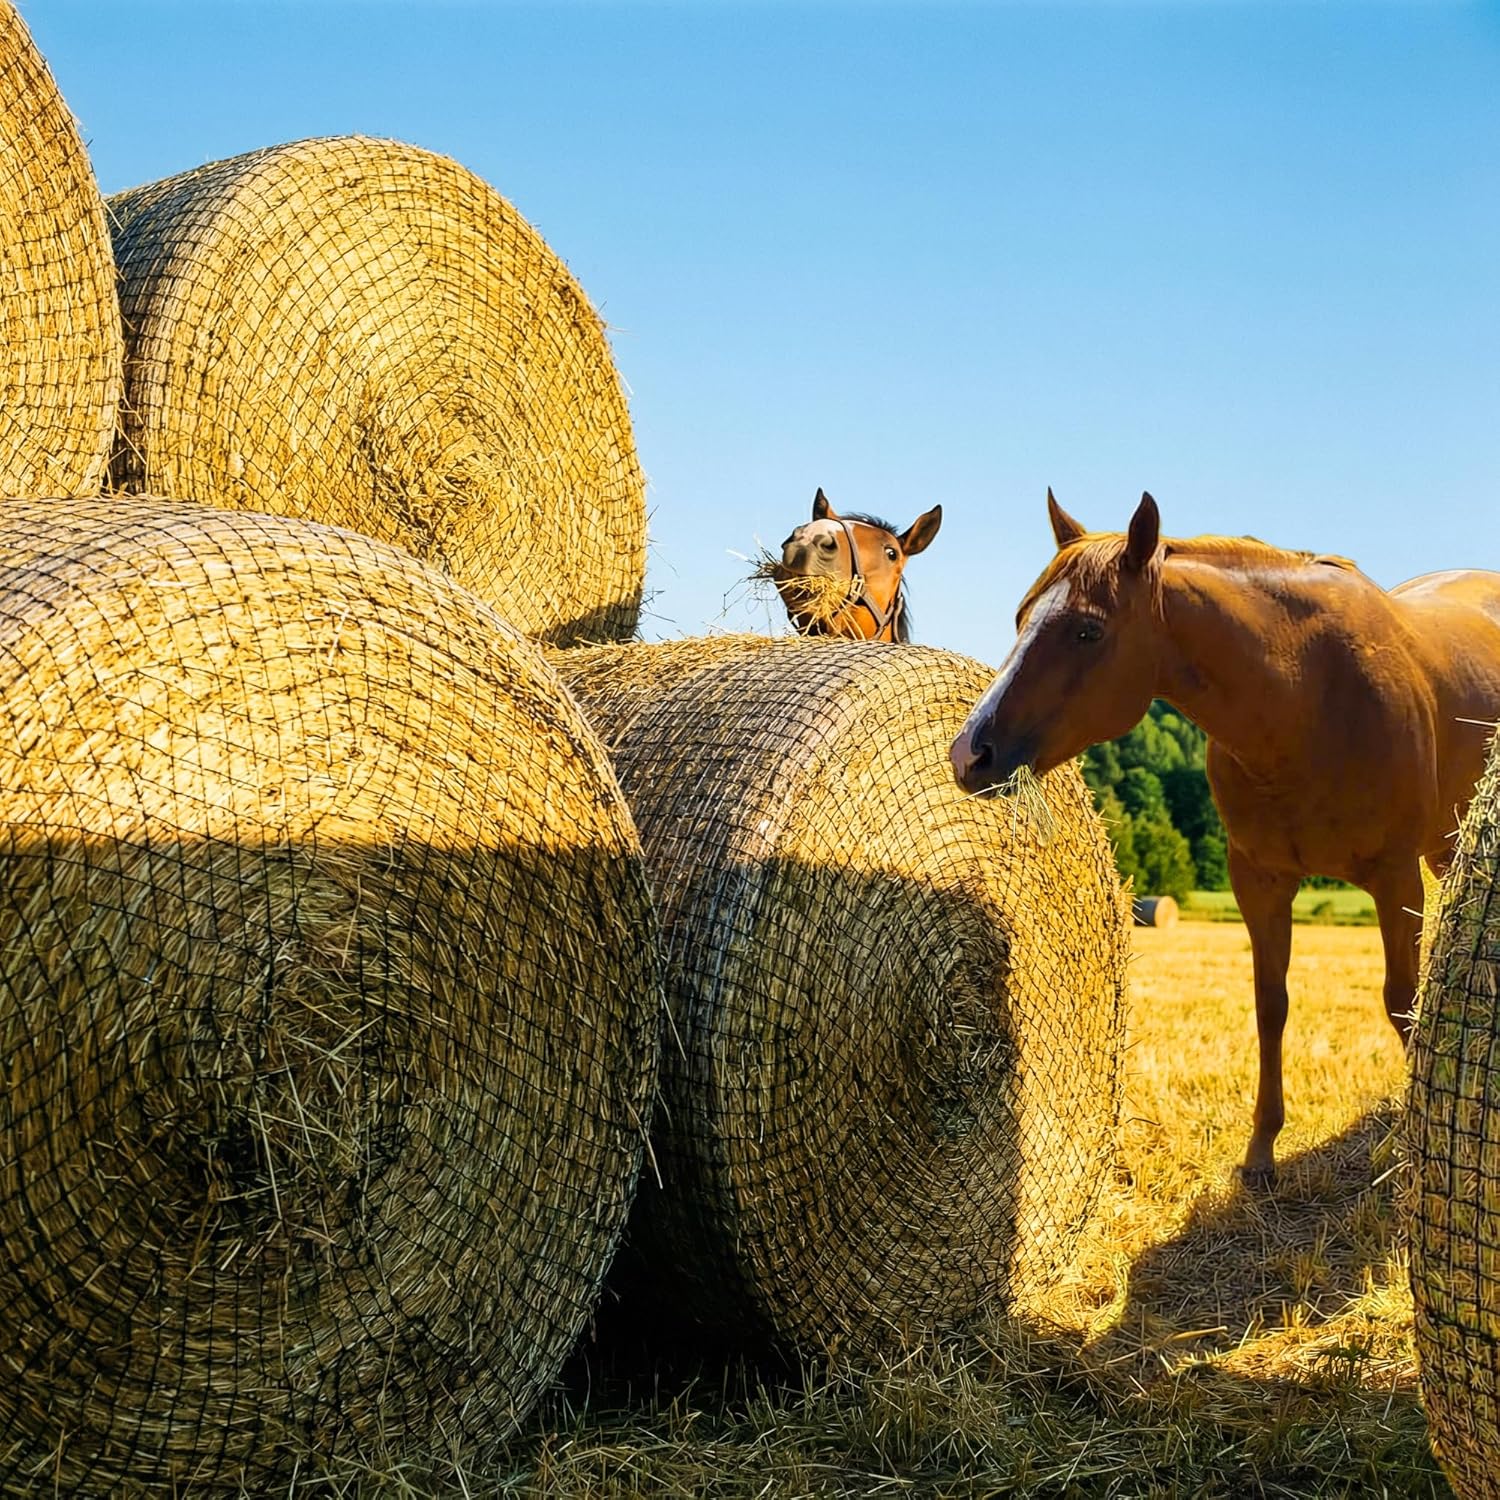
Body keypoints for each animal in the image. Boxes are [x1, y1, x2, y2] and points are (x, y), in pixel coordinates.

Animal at [949, 489, 1500, 1183]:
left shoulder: (1394, 877)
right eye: (1022, 616)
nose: (969, 754)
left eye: (1087, 630)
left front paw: (1406, 1139)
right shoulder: (1259, 879)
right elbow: (1270, 1004)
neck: (1306, 699)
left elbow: (1402, 1001)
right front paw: (1261, 1150)